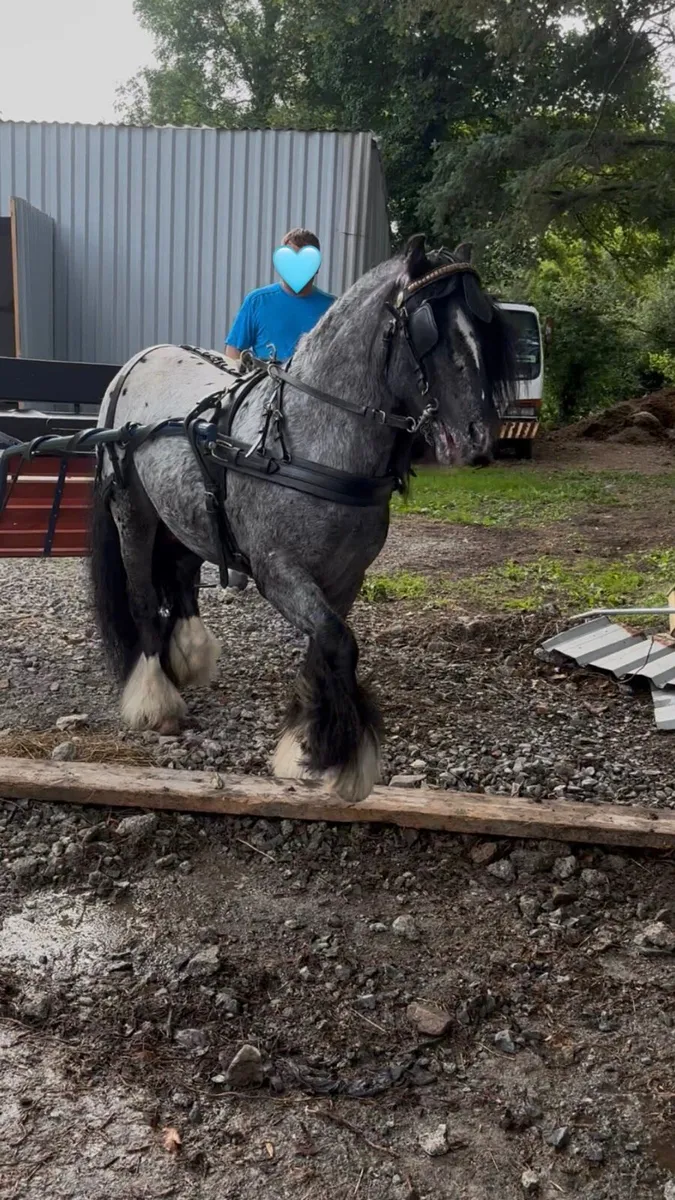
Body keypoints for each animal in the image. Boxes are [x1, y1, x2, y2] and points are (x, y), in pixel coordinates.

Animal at [89, 236, 515, 802]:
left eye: (485, 328)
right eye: (430, 333)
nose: (480, 440)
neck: (311, 443)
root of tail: (137, 360)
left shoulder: (346, 576)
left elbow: (325, 646)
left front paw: (303, 743)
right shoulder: (278, 572)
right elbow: (338, 641)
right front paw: (337, 754)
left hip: (183, 514)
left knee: (178, 577)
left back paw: (189, 657)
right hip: (131, 509)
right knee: (140, 598)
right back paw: (156, 699)